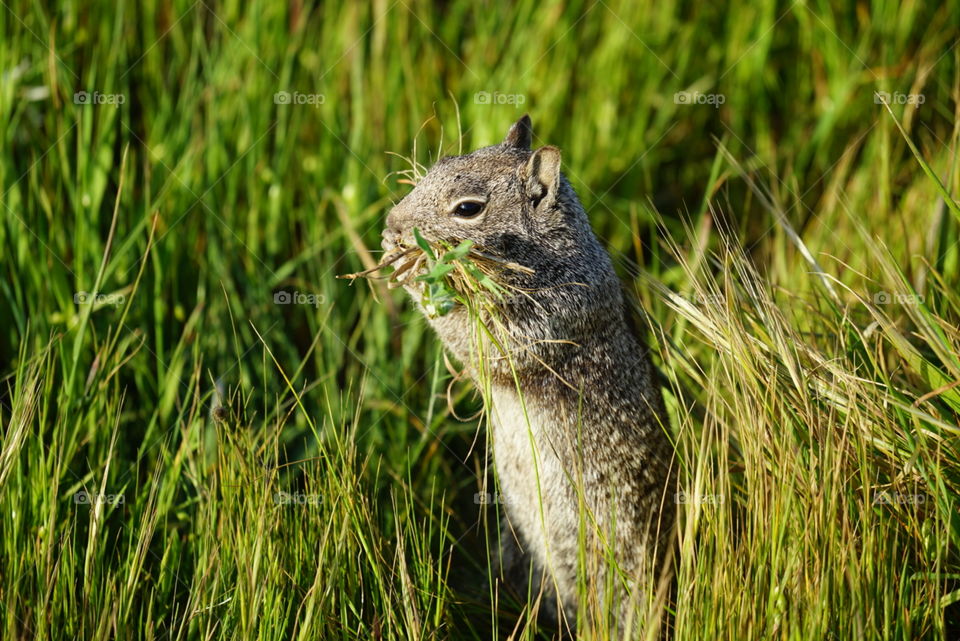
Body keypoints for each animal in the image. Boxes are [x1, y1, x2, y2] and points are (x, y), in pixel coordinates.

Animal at [381, 115, 675, 631]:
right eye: (438, 164)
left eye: (468, 208)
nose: (394, 224)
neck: (554, 254)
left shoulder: (546, 323)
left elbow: (477, 341)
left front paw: (411, 269)